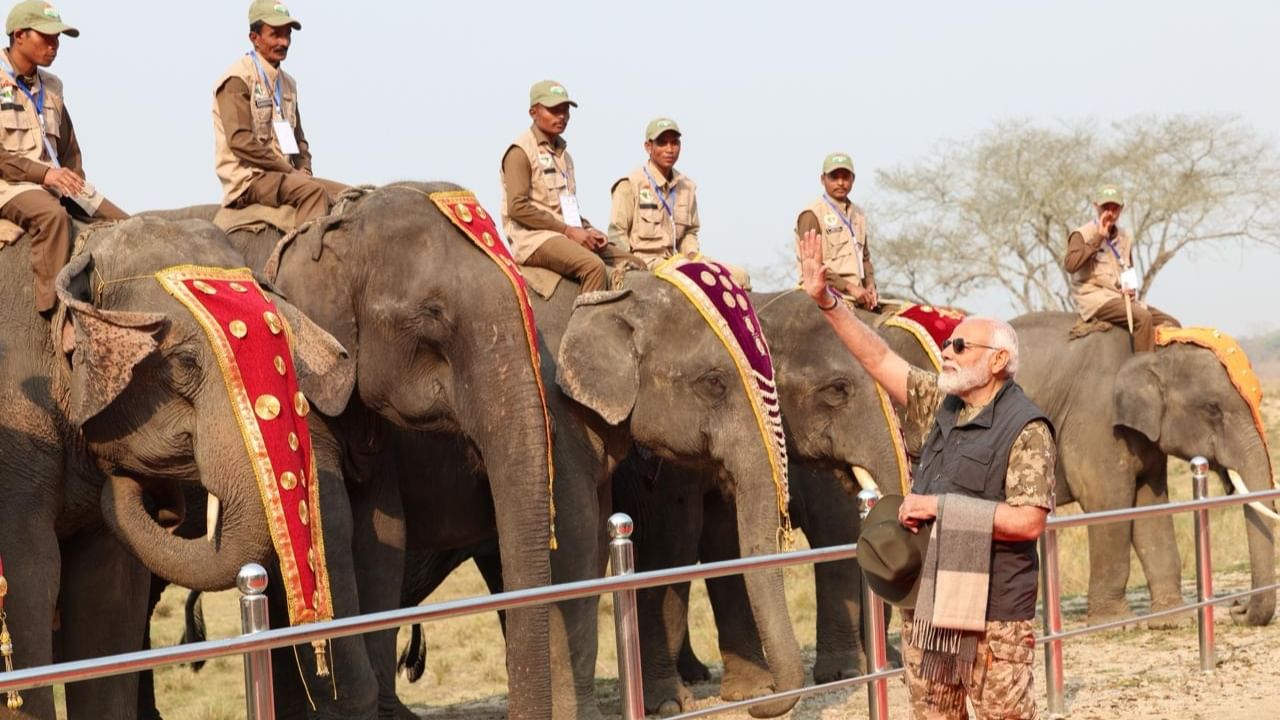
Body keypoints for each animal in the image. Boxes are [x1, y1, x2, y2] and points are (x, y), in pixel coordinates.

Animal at [141, 184, 560, 717]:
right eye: (433, 315)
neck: (335, 220)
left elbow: (383, 531)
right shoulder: (294, 382)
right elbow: (330, 522)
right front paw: (349, 699)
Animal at [1013, 311, 1274, 625]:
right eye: (1213, 408)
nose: (1237, 608)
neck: (1155, 351)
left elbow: (1150, 506)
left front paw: (1175, 620)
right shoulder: (1097, 420)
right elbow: (1108, 502)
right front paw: (1116, 623)